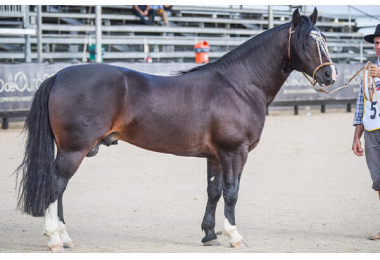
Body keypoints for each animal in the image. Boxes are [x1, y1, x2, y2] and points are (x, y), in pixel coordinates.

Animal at [14, 8, 336, 252]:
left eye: (324, 40)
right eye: (308, 42)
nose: (329, 74)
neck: (239, 85)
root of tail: (58, 75)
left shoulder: (216, 156)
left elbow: (213, 191)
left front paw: (210, 234)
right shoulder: (235, 152)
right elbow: (231, 192)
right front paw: (234, 236)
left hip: (70, 150)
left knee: (60, 189)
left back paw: (64, 236)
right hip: (74, 149)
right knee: (56, 187)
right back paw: (54, 239)